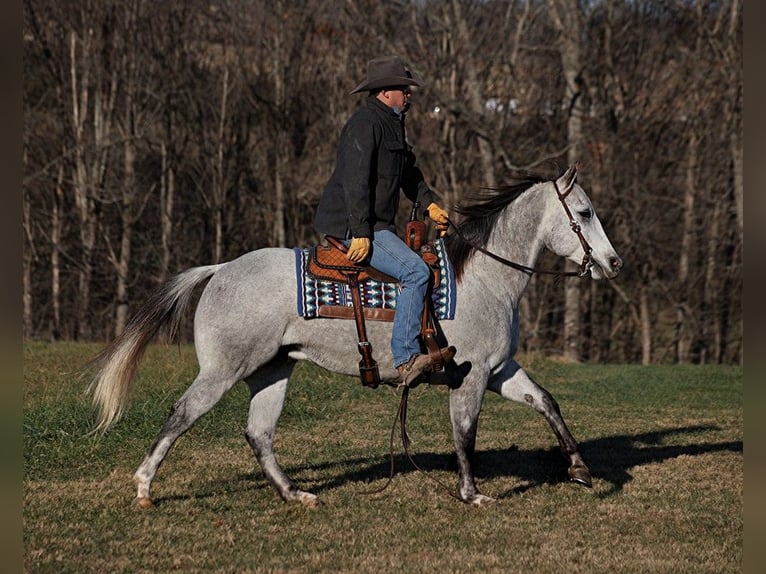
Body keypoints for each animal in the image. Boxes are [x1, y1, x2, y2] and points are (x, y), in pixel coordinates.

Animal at [90, 165, 624, 508]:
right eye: (585, 212)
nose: (614, 262)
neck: (484, 278)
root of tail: (220, 269)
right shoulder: (470, 378)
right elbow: (465, 432)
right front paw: (472, 494)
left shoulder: (498, 370)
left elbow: (546, 402)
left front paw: (580, 469)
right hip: (223, 370)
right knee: (182, 414)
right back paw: (143, 487)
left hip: (272, 371)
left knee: (259, 433)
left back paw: (295, 493)